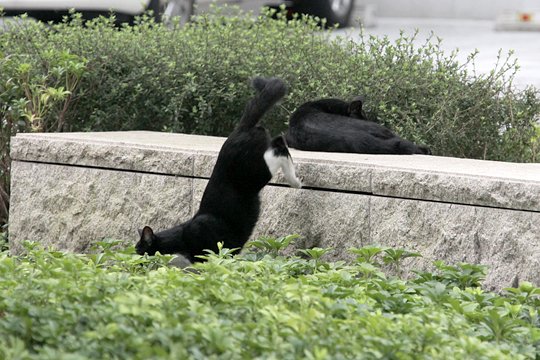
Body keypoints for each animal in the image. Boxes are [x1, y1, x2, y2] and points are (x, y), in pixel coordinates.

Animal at [135, 76, 302, 262]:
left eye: (139, 251)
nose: (133, 257)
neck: (179, 238)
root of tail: (239, 129)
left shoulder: (208, 245)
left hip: (252, 174)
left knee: (277, 149)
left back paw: (295, 180)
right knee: (278, 141)